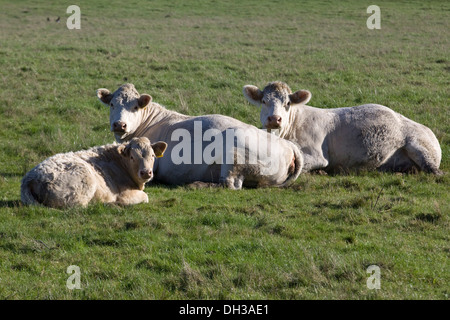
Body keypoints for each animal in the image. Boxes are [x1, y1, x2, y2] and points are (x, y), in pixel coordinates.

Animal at [96, 82, 304, 189]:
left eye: (135, 107)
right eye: (112, 104)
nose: (119, 124)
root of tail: (289, 145)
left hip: (234, 155)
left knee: (229, 184)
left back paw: (196, 184)